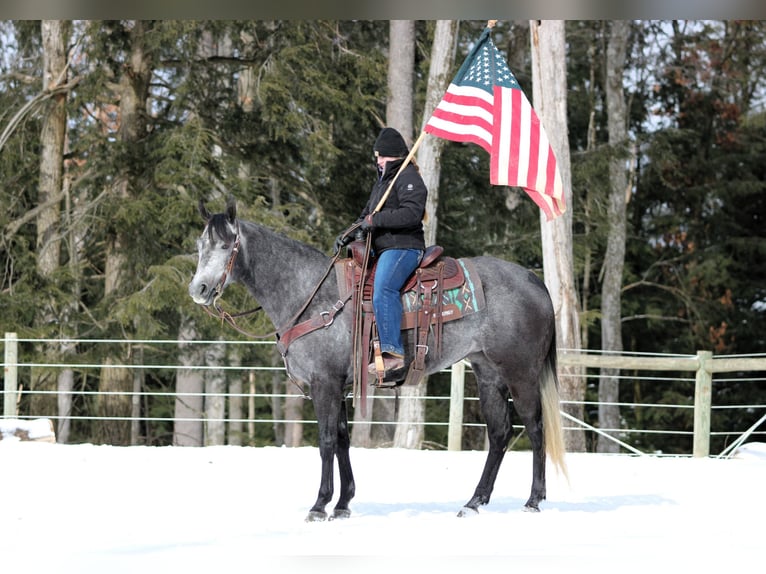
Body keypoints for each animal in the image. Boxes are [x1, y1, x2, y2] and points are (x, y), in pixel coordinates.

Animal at [189, 197, 568, 520]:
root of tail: (534, 280)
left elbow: (326, 441)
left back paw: (533, 500)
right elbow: (343, 440)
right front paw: (343, 503)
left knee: (535, 428)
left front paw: (320, 504)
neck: (310, 294)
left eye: (226, 245)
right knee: (500, 433)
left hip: (521, 373)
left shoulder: (324, 384)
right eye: (200, 245)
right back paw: (474, 502)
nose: (198, 290)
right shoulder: (340, 385)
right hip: (488, 373)